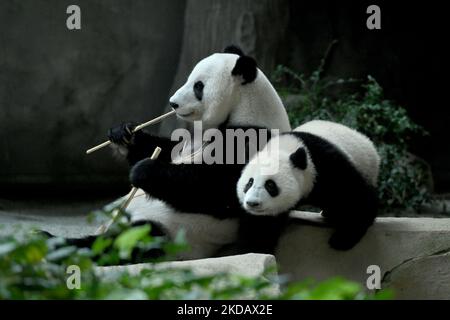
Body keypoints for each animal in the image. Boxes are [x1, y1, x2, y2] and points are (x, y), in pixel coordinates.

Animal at [70, 45, 290, 260]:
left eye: (198, 86)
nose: (173, 103)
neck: (246, 108)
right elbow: (168, 149)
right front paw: (124, 133)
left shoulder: (251, 140)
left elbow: (215, 189)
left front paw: (144, 170)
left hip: (172, 233)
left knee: (127, 240)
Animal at [236, 120, 380, 250]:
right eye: (249, 182)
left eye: (270, 185)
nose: (252, 203)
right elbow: (261, 225)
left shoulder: (327, 166)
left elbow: (355, 197)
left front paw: (342, 239)